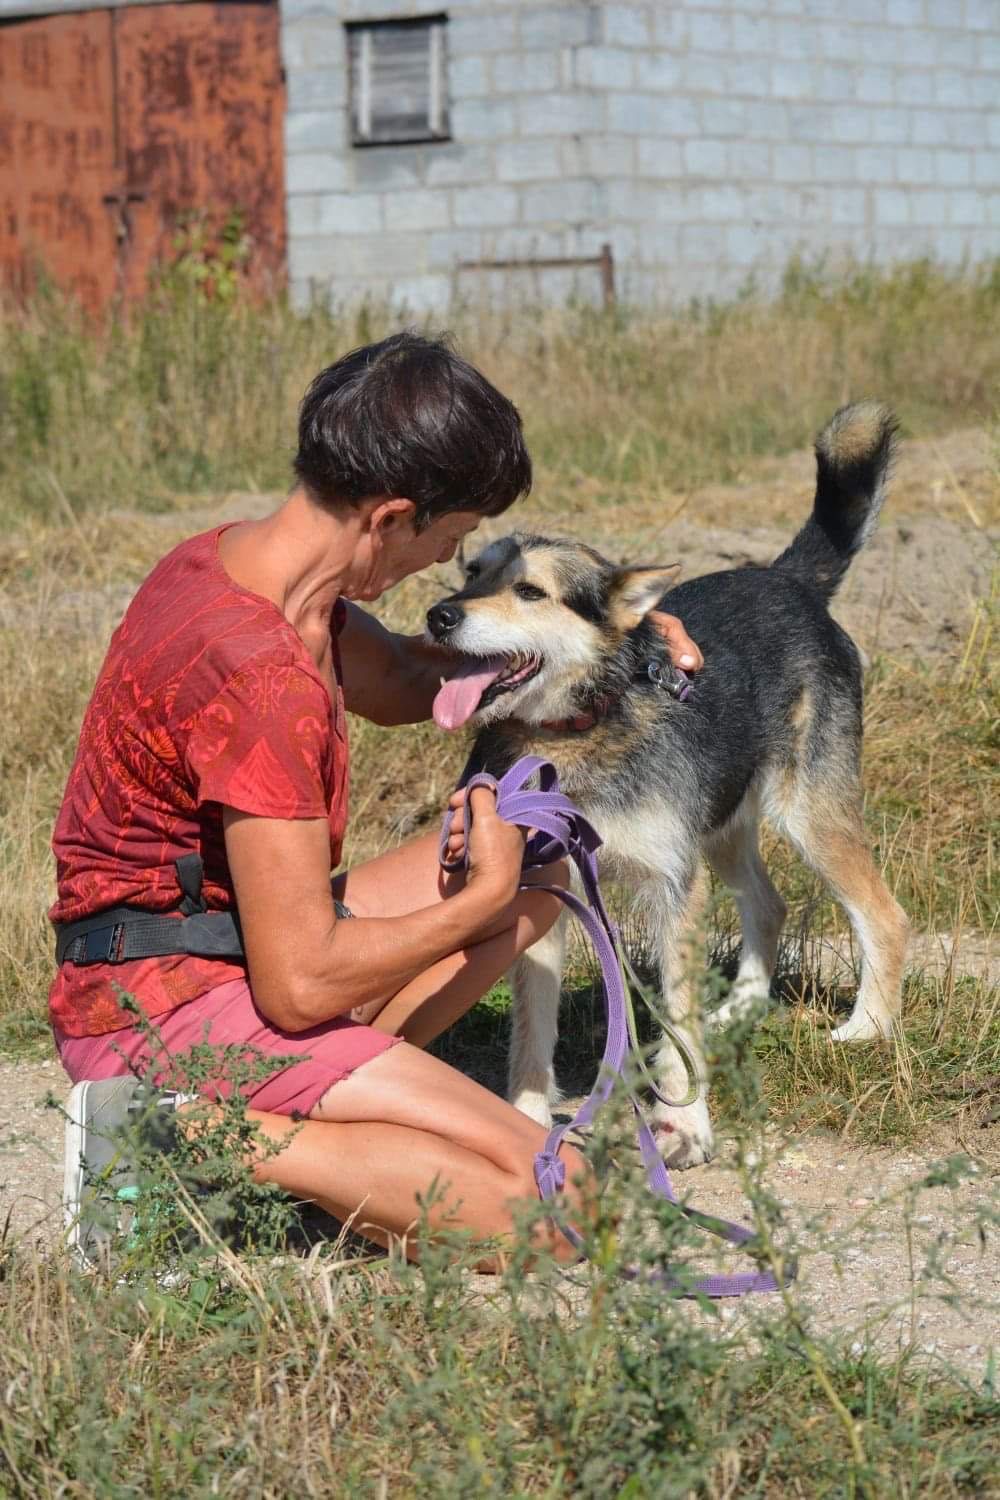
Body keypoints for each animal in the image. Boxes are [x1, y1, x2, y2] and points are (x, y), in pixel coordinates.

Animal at [425, 405, 911, 1164]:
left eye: (531, 592)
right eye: (471, 573)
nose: (439, 616)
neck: (574, 732)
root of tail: (786, 580)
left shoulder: (672, 886)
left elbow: (677, 1022)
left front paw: (684, 1122)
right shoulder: (544, 888)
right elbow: (532, 1032)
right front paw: (528, 1119)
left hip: (807, 817)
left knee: (883, 915)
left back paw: (869, 1028)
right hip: (719, 826)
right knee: (767, 902)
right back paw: (741, 1006)